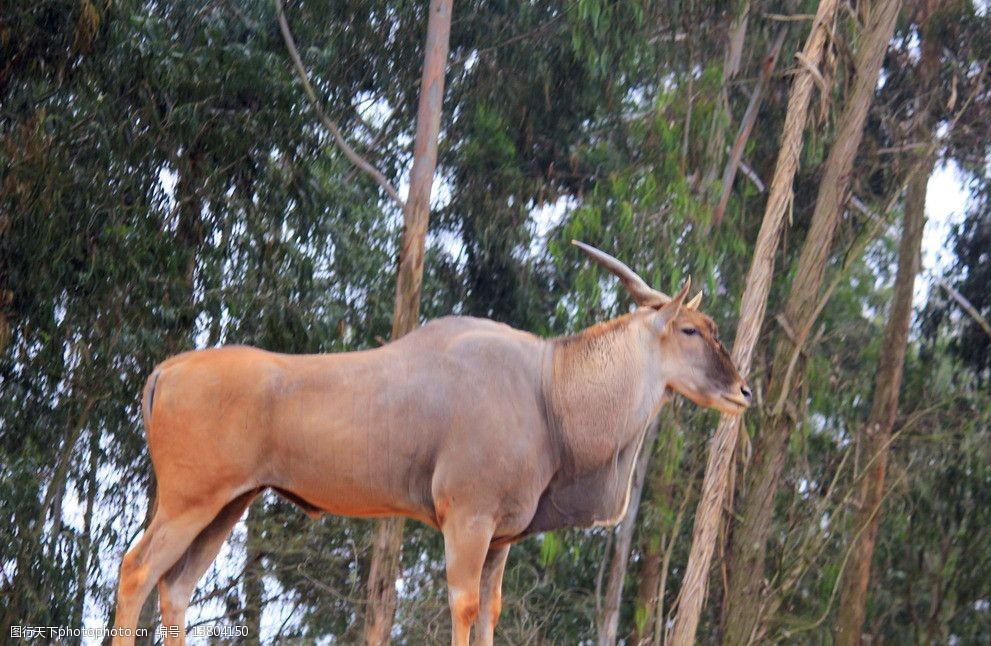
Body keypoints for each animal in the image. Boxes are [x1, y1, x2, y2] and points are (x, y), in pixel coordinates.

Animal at [112, 242, 748, 646]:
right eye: (691, 330)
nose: (743, 390)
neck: (547, 387)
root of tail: (166, 370)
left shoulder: (501, 538)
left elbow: (490, 611)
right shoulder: (467, 520)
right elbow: (464, 606)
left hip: (227, 505)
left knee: (176, 586)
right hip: (189, 502)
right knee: (137, 570)